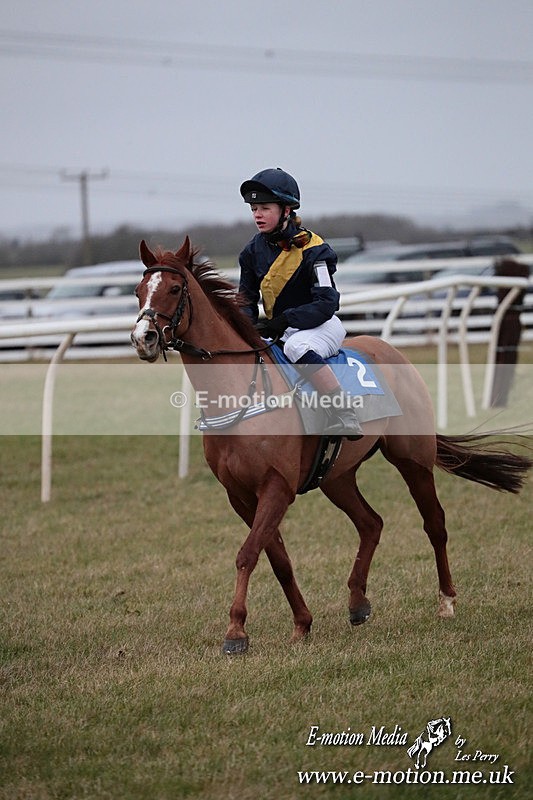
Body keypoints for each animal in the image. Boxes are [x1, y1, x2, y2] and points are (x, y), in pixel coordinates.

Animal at [131, 238, 532, 655]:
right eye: (139, 291)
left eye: (175, 288)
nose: (144, 338)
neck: (243, 393)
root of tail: (391, 349)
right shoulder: (239, 495)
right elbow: (277, 558)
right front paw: (301, 623)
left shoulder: (277, 486)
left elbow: (248, 553)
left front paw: (236, 631)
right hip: (336, 477)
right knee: (371, 523)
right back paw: (357, 602)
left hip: (412, 458)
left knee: (434, 522)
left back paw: (447, 601)